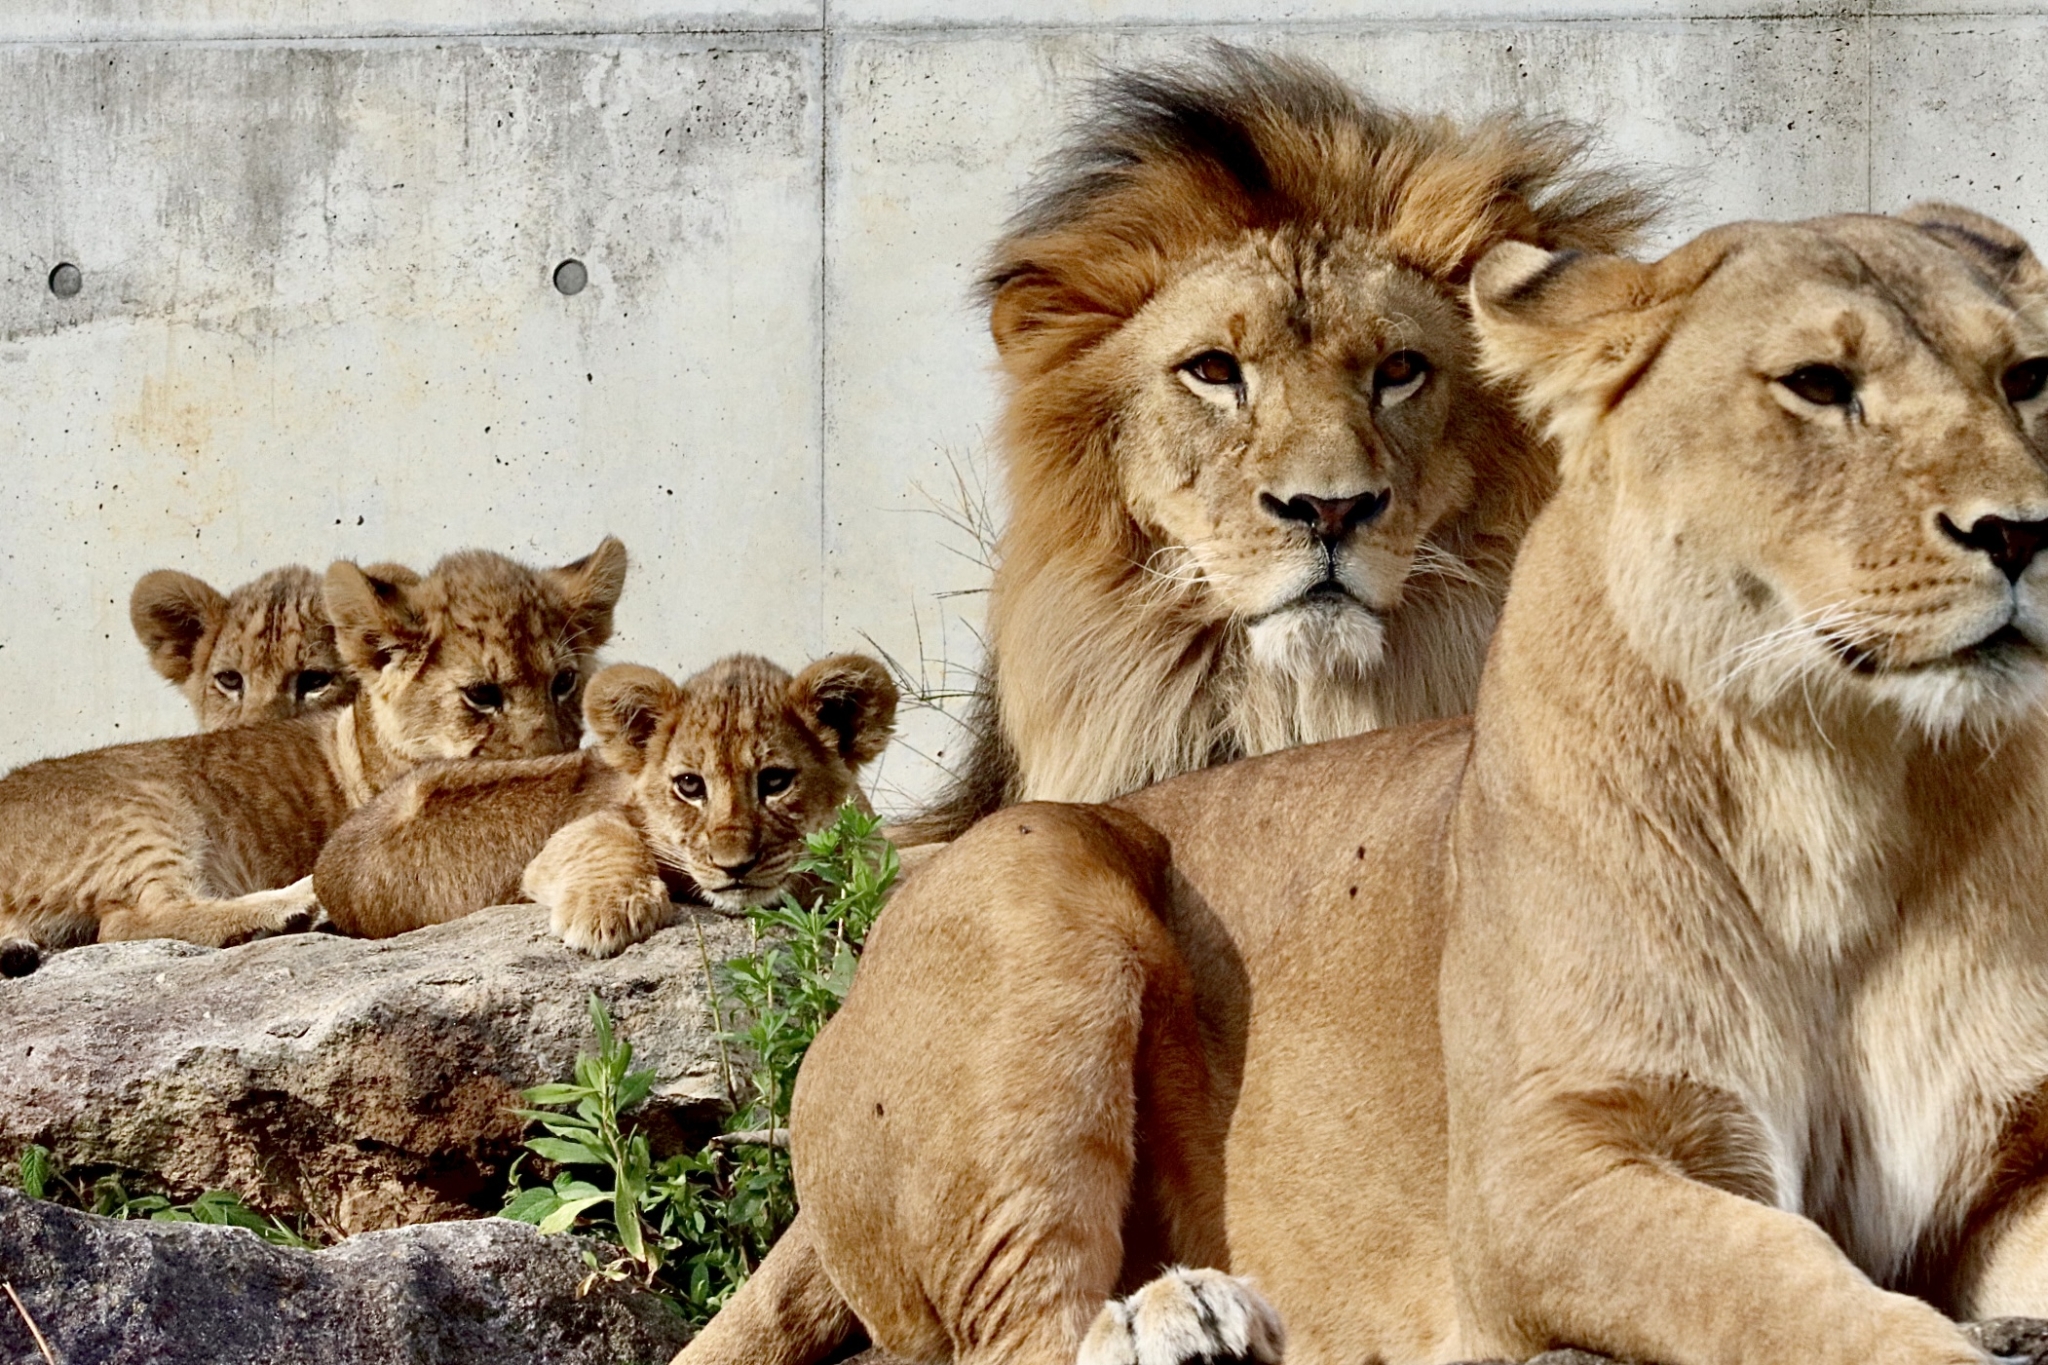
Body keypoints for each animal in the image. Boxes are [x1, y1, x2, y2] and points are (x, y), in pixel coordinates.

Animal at [312, 653, 898, 956]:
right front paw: (607, 912)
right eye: (690, 786)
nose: (735, 866)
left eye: (775, 781)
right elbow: (600, 835)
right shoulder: (571, 831)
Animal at [676, 203, 2048, 1365]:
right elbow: (1773, 1280)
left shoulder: (2013, 1155)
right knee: (1014, 1332)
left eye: (2023, 379)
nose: (2024, 531)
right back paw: (1180, 1323)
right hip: (1033, 867)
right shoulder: (1538, 1177)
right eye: (1817, 385)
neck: (1847, 785)